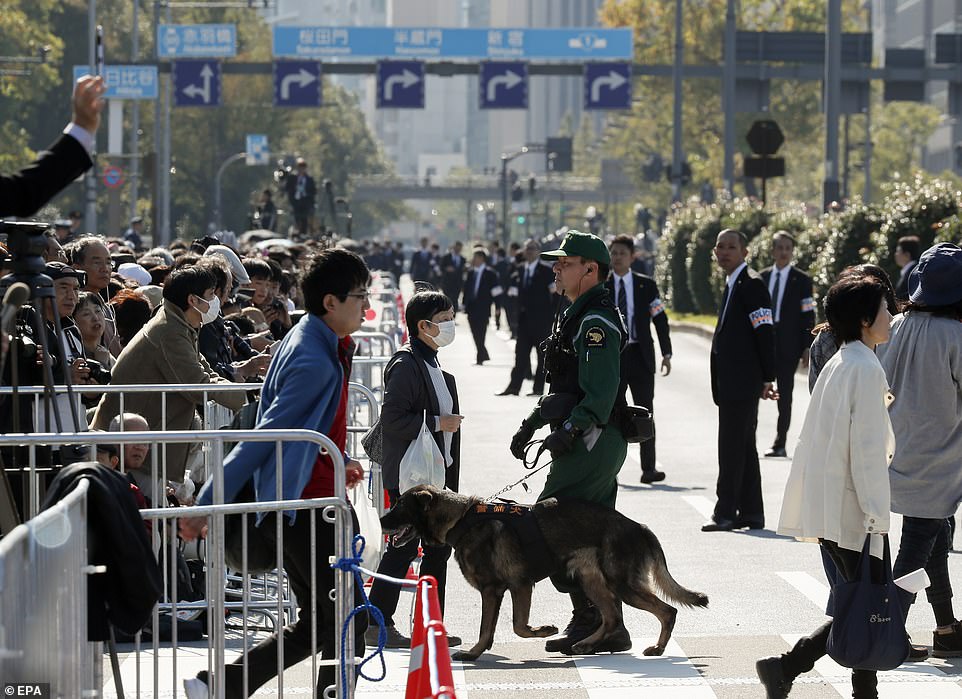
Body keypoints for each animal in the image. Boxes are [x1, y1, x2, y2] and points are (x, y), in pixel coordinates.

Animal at [378, 486, 708, 660]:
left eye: (400, 505)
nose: (380, 520)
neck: (461, 519)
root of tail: (639, 526)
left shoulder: (512, 587)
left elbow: (512, 626)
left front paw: (539, 631)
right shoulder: (506, 590)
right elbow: (500, 628)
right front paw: (478, 652)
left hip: (622, 584)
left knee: (666, 611)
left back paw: (657, 647)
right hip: (591, 580)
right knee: (613, 616)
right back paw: (585, 644)